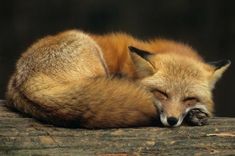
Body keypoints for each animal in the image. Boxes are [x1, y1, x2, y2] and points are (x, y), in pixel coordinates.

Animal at [5, 29, 229, 129]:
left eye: (189, 99)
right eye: (161, 93)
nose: (172, 120)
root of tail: (22, 79)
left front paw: (196, 114)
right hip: (92, 54)